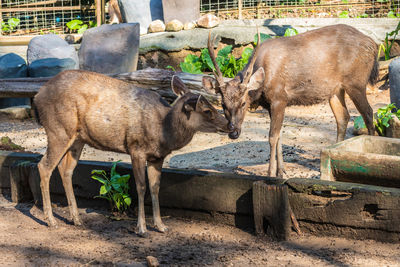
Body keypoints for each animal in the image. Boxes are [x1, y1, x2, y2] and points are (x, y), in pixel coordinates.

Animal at [34, 70, 230, 237]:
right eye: (207, 111)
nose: (229, 126)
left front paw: (161, 226)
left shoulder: (157, 157)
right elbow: (141, 187)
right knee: (44, 166)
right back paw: (51, 220)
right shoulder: (136, 149)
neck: (163, 131)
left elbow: (155, 187)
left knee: (65, 169)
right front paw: (141, 228)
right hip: (58, 130)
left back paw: (76, 219)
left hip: (77, 139)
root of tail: (37, 96)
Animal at [203, 25, 378, 178]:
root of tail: (373, 44)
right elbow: (280, 135)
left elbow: (272, 137)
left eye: (243, 103)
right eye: (223, 104)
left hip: (356, 82)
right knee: (343, 117)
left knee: (368, 113)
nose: (233, 132)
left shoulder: (279, 98)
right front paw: (281, 171)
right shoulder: (271, 105)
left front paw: (271, 174)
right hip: (335, 90)